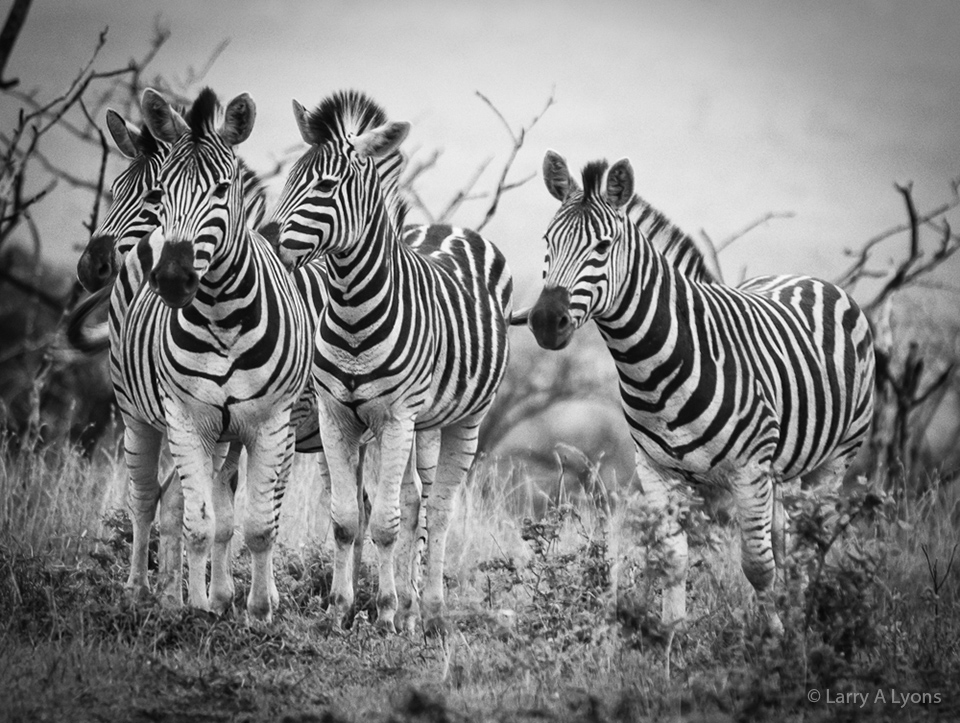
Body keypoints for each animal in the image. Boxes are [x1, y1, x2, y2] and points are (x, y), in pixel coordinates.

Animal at [118, 86, 312, 621]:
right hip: (136, 415)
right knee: (148, 502)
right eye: (162, 192)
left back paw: (203, 595)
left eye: (223, 189)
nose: (171, 279)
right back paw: (146, 591)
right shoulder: (187, 420)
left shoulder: (270, 423)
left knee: (200, 506)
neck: (224, 318)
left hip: (227, 436)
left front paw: (258, 611)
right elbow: (198, 524)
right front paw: (197, 610)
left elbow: (256, 525)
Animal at [263, 90, 514, 633]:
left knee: (439, 510)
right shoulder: (336, 416)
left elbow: (382, 523)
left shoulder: (396, 417)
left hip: (466, 419)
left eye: (326, 185)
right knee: (418, 500)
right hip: (422, 424)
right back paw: (415, 608)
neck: (352, 308)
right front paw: (341, 609)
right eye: (290, 178)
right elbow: (345, 520)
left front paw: (384, 613)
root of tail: (448, 226)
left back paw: (432, 612)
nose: (271, 246)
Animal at [527, 151, 875, 648]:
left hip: (837, 455)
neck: (654, 368)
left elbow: (757, 564)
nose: (544, 321)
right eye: (547, 242)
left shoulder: (749, 470)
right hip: (786, 468)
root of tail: (807, 278)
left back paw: (801, 618)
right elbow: (673, 556)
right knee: (791, 534)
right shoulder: (655, 470)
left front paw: (775, 639)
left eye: (604, 246)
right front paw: (671, 637)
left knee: (811, 539)